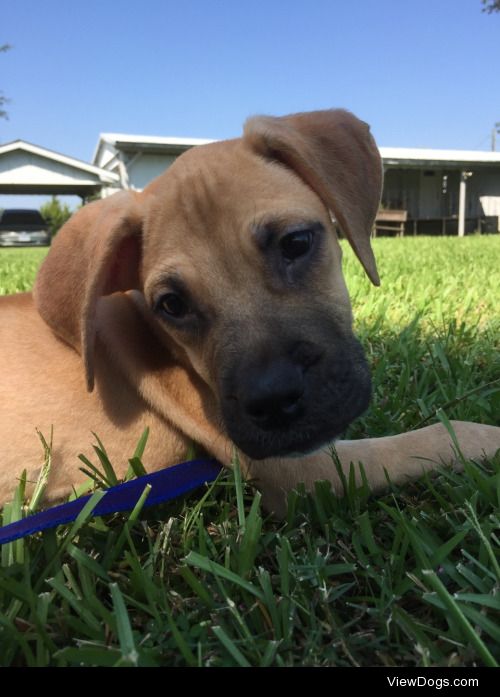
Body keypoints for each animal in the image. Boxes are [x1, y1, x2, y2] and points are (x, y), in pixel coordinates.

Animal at [0, 106, 500, 512]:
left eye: (295, 242)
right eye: (173, 304)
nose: (274, 400)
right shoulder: (308, 469)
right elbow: (442, 434)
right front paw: (488, 438)